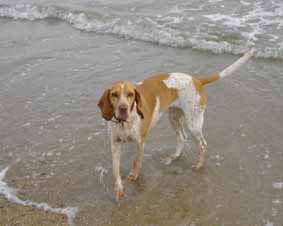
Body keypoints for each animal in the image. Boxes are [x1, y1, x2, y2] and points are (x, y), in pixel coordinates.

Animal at [97, 49, 255, 200]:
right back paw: (174, 157)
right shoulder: (115, 144)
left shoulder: (140, 142)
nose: (123, 108)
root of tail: (196, 80)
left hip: (193, 123)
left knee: (203, 144)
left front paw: (134, 176)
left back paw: (198, 165)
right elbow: (115, 170)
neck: (124, 123)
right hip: (174, 118)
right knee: (182, 137)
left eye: (130, 94)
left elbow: (136, 161)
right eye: (114, 95)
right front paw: (118, 189)